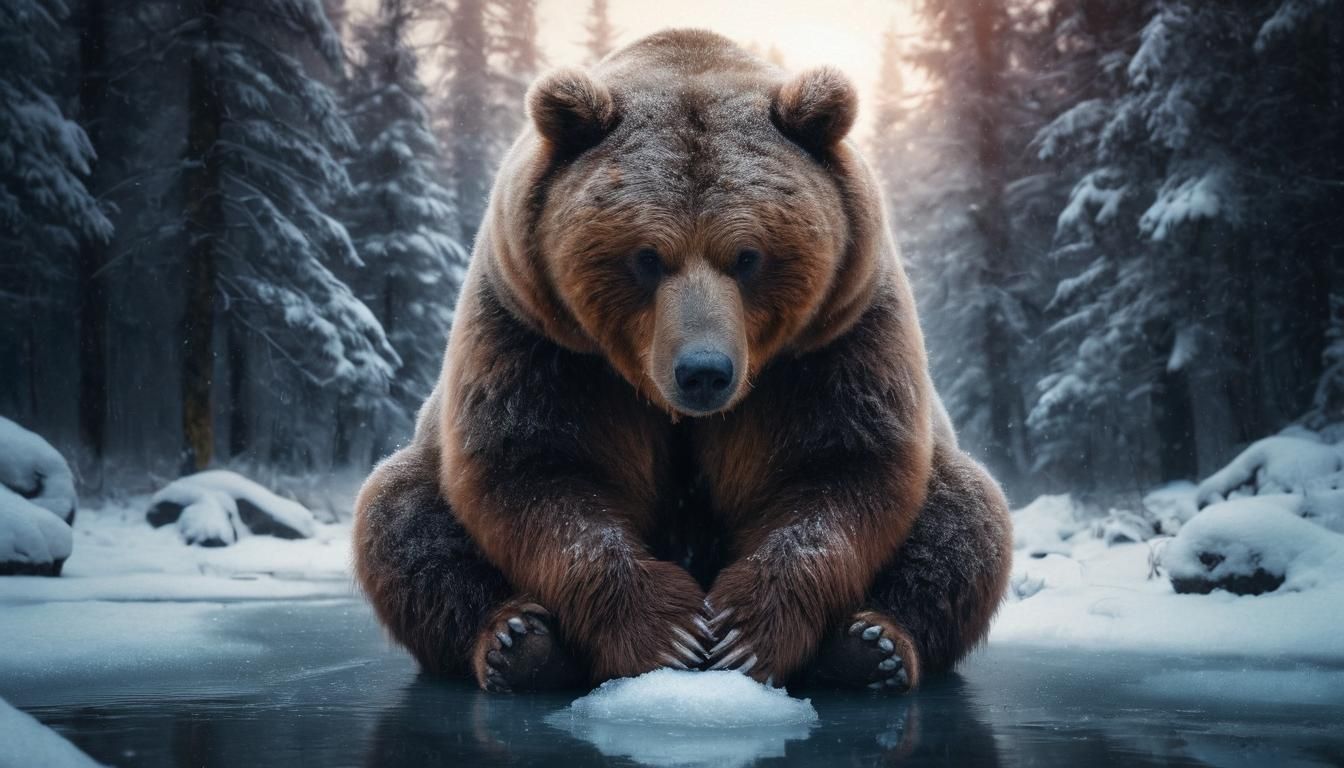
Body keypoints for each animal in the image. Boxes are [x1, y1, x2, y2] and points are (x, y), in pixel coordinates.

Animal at [353, 29, 1012, 694]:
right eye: (646, 257)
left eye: (748, 256)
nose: (703, 371)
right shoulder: (537, 334)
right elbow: (537, 469)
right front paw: (670, 631)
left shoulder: (837, 335)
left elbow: (839, 467)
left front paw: (741, 635)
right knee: (404, 522)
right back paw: (519, 642)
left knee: (964, 519)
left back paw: (871, 646)